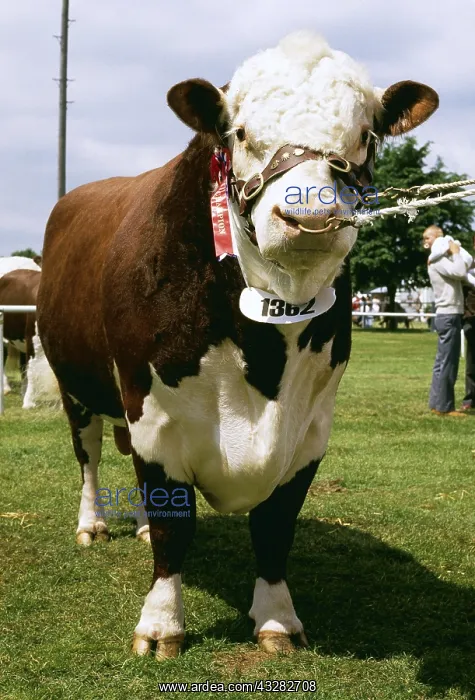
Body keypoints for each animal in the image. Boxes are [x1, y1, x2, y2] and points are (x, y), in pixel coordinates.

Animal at [37, 31, 438, 659]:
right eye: (242, 133)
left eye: (365, 136)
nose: (310, 215)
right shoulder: (154, 415)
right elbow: (175, 524)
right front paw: (161, 625)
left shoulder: (311, 426)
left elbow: (275, 526)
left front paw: (276, 619)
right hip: (73, 385)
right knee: (91, 458)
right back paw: (92, 524)